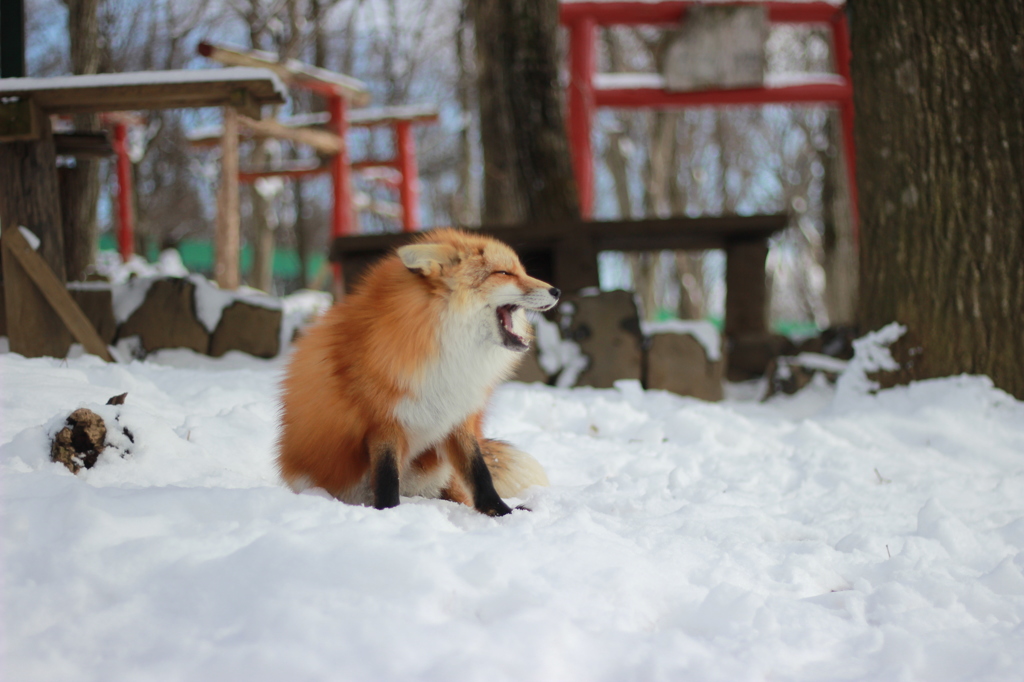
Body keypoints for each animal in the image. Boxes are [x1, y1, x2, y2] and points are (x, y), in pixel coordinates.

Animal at [276, 225, 557, 512]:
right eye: (504, 273)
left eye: (521, 271)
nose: (556, 291)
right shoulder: (383, 422)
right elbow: (387, 479)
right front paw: (389, 513)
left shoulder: (457, 416)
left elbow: (479, 473)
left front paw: (500, 512)